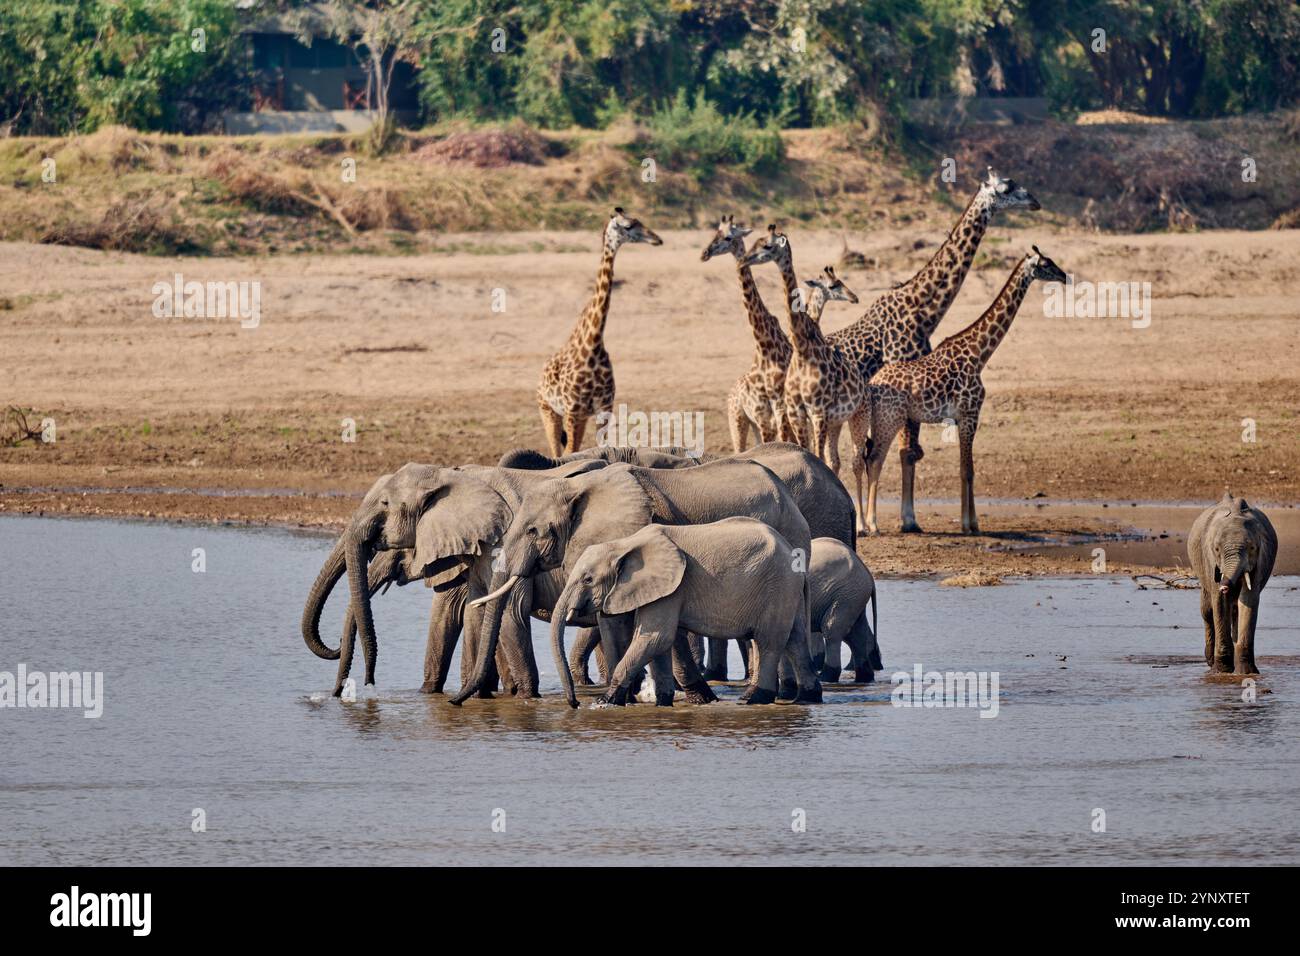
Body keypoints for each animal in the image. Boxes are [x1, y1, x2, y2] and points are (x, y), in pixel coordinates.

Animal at [537, 207, 662, 455]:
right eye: (629, 226)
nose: (657, 239)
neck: (593, 342)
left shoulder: (603, 407)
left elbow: (602, 448)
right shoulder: (573, 409)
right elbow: (570, 453)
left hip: (577, 415)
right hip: (548, 410)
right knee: (557, 451)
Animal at [700, 216, 793, 451]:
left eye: (728, 237)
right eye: (715, 233)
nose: (704, 253)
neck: (764, 343)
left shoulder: (776, 412)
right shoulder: (764, 417)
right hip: (739, 420)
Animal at [834, 169, 1041, 530]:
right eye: (1007, 187)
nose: (1035, 201)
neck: (923, 308)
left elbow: (911, 453)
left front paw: (906, 518)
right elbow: (907, 452)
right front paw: (907, 520)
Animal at [860, 247, 1067, 535]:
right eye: (1046, 264)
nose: (1064, 276)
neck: (979, 353)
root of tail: (872, 385)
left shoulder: (961, 418)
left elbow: (966, 469)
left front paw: (970, 522)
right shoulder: (970, 415)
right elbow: (968, 471)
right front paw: (970, 524)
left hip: (887, 420)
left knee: (873, 458)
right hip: (889, 420)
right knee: (875, 460)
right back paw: (872, 524)